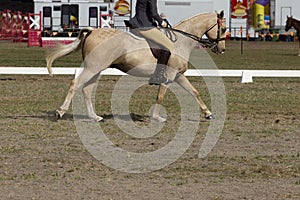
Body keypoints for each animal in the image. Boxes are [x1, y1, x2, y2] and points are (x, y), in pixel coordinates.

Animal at [46, 11, 225, 122]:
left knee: (87, 90)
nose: (221, 49)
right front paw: (156, 117)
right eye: (223, 28)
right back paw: (60, 112)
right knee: (75, 84)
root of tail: (92, 31)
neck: (181, 41)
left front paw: (208, 114)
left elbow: (195, 92)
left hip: (97, 69)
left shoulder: (178, 75)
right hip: (93, 67)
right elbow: (160, 96)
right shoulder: (169, 76)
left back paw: (95, 117)